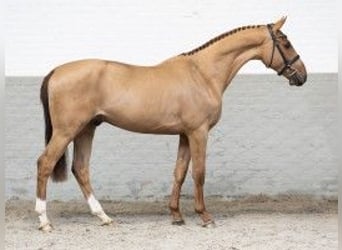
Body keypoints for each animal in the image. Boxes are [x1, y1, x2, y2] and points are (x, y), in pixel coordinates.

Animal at [34, 17, 308, 232]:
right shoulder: (198, 133)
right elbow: (199, 173)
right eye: (285, 43)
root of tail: (56, 71)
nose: (302, 76)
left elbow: (179, 172)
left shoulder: (184, 134)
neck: (202, 74)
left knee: (81, 168)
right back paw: (44, 221)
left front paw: (176, 216)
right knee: (45, 164)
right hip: (66, 131)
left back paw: (104, 217)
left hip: (86, 129)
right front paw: (205, 217)